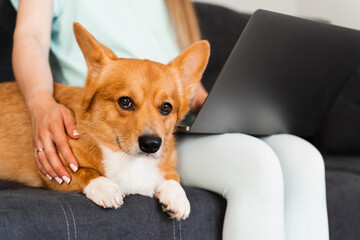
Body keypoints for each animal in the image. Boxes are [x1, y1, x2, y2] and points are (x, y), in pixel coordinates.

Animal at [0, 22, 211, 219]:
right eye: (125, 101)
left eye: (166, 107)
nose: (151, 144)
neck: (128, 159)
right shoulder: (53, 172)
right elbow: (82, 171)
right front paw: (105, 187)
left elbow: (173, 176)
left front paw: (177, 196)